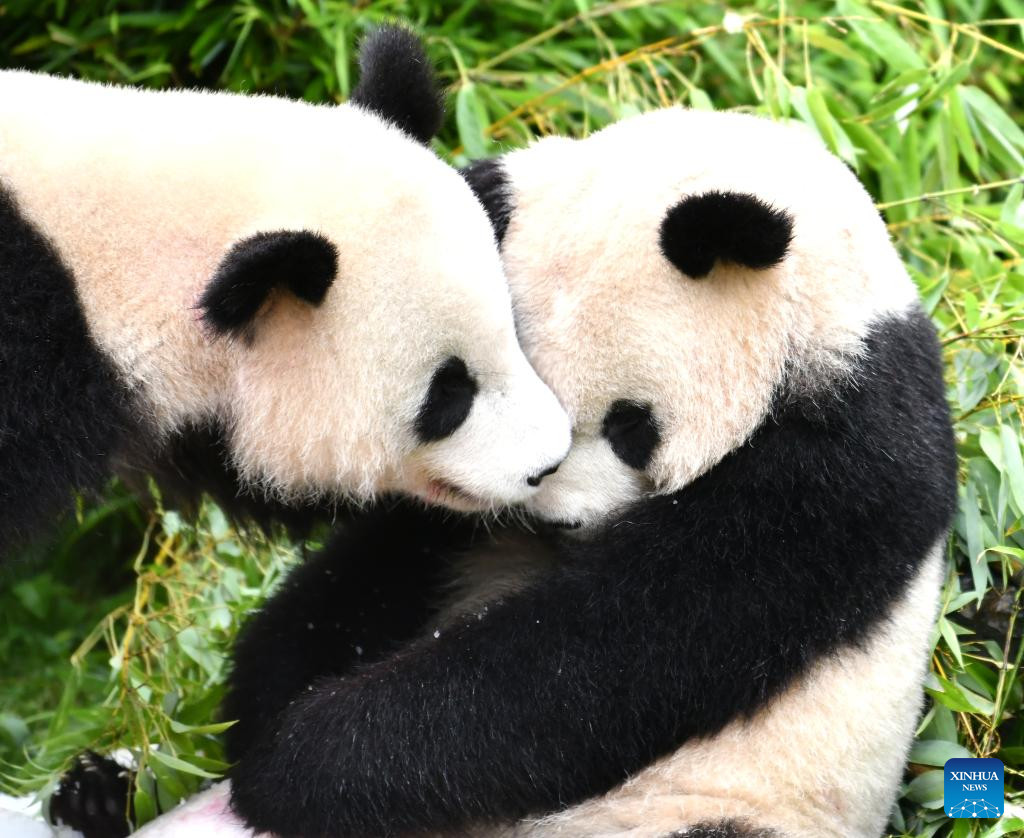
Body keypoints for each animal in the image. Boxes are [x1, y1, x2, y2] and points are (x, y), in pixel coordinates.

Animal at [51, 109, 954, 835]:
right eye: (483, 395)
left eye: (631, 427)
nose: (556, 519)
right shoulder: (443, 512)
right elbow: (368, 572)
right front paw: (261, 708)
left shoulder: (838, 461)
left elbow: (612, 651)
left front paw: (301, 763)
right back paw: (97, 792)